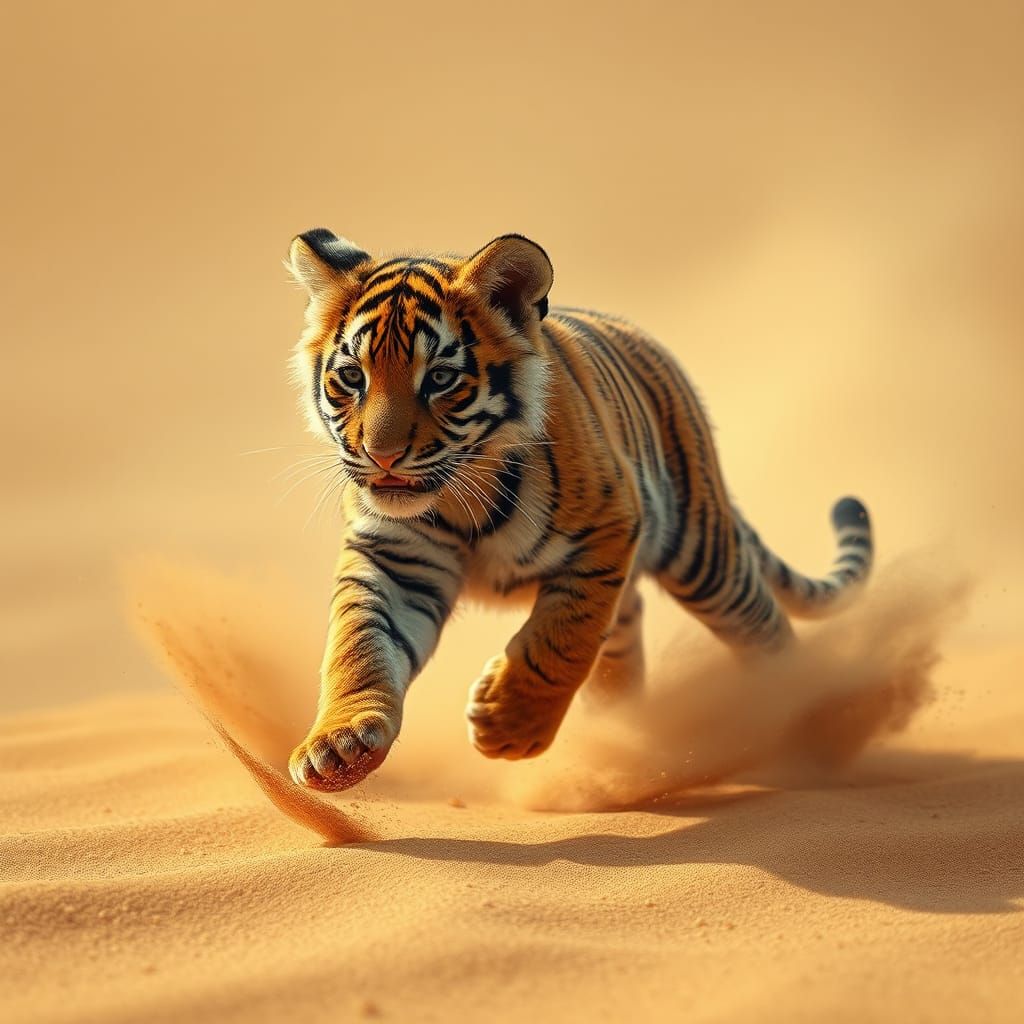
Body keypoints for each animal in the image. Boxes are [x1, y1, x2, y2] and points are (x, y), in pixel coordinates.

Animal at [285, 229, 873, 791]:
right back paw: (623, 751)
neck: (458, 496)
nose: (380, 456)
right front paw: (339, 748)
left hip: (703, 557)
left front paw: (507, 728)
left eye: (440, 379)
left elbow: (562, 638)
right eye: (353, 378)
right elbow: (360, 642)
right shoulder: (394, 556)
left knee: (765, 627)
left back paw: (803, 721)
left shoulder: (608, 530)